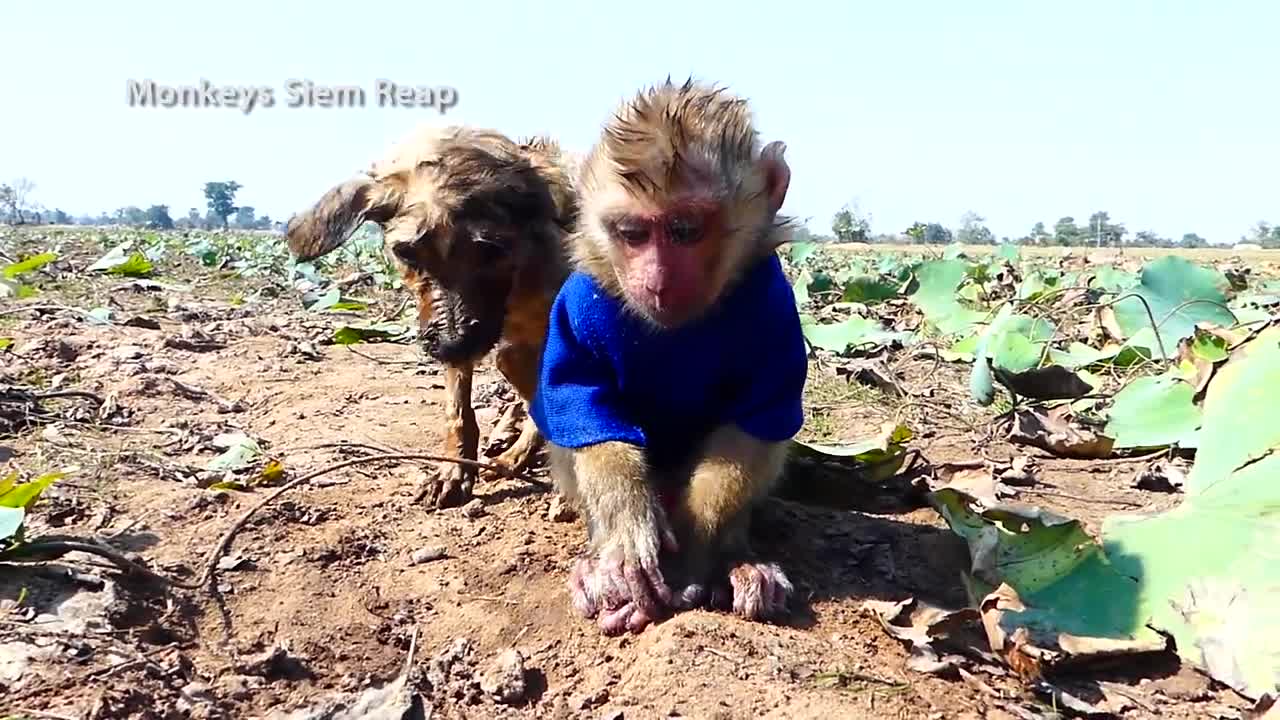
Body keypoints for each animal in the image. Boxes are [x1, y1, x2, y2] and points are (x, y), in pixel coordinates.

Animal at [529, 75, 808, 630]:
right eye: (633, 234)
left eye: (684, 230)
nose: (656, 282)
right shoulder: (576, 306)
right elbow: (583, 410)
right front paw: (625, 532)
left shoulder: (775, 313)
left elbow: (753, 428)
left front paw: (696, 550)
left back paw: (739, 562)